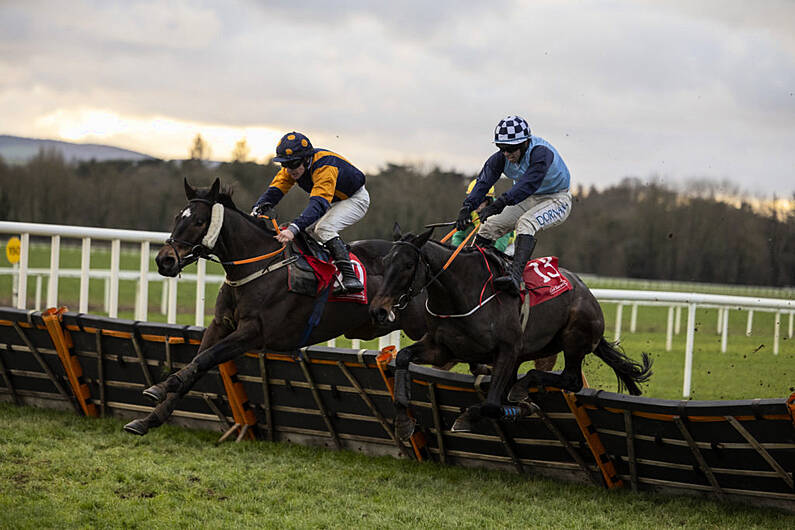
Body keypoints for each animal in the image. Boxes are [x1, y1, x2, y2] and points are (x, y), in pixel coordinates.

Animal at [123, 177, 430, 434]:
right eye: (178, 217)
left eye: (199, 221)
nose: (164, 260)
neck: (258, 265)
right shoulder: (220, 324)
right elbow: (198, 363)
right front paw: (149, 418)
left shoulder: (253, 333)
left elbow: (205, 359)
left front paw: (162, 385)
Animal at [370, 227, 648, 438]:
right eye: (384, 261)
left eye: (408, 265)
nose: (378, 311)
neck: (462, 293)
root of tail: (589, 294)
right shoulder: (443, 348)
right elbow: (403, 357)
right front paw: (403, 420)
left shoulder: (507, 350)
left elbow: (492, 405)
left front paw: (470, 416)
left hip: (573, 340)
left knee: (571, 380)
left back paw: (524, 386)